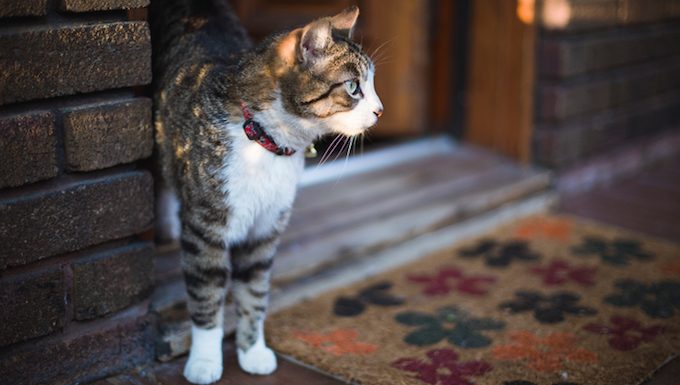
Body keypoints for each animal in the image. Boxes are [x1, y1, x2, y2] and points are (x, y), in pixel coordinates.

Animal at [150, 1, 382, 382]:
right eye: (352, 86)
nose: (380, 110)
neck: (266, 142)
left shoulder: (266, 228)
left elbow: (254, 293)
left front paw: (253, 351)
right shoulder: (205, 228)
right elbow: (206, 293)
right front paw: (204, 360)